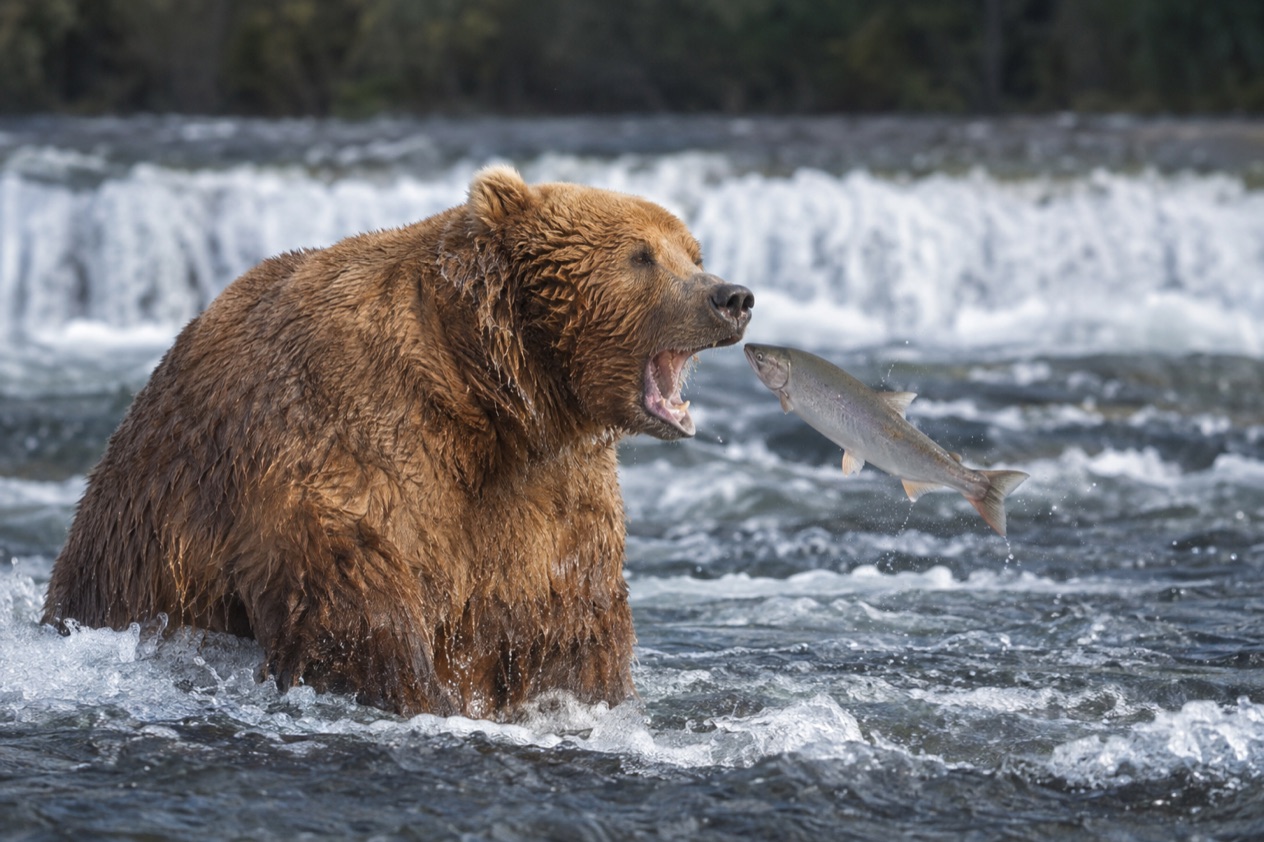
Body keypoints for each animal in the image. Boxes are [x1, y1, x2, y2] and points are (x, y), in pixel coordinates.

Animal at [42, 166, 753, 719]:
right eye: (641, 255)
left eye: (692, 251)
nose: (732, 296)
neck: (485, 396)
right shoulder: (354, 432)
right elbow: (356, 593)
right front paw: (423, 699)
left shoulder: (554, 494)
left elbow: (571, 620)